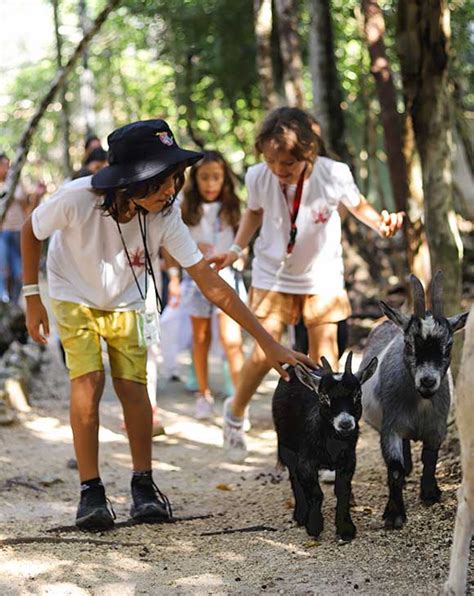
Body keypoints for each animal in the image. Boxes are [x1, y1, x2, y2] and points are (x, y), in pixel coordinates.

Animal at [362, 272, 468, 528]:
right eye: (409, 343)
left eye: (448, 345)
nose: (428, 381)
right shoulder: (390, 427)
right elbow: (395, 468)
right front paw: (394, 514)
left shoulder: (437, 429)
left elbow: (430, 459)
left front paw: (430, 493)